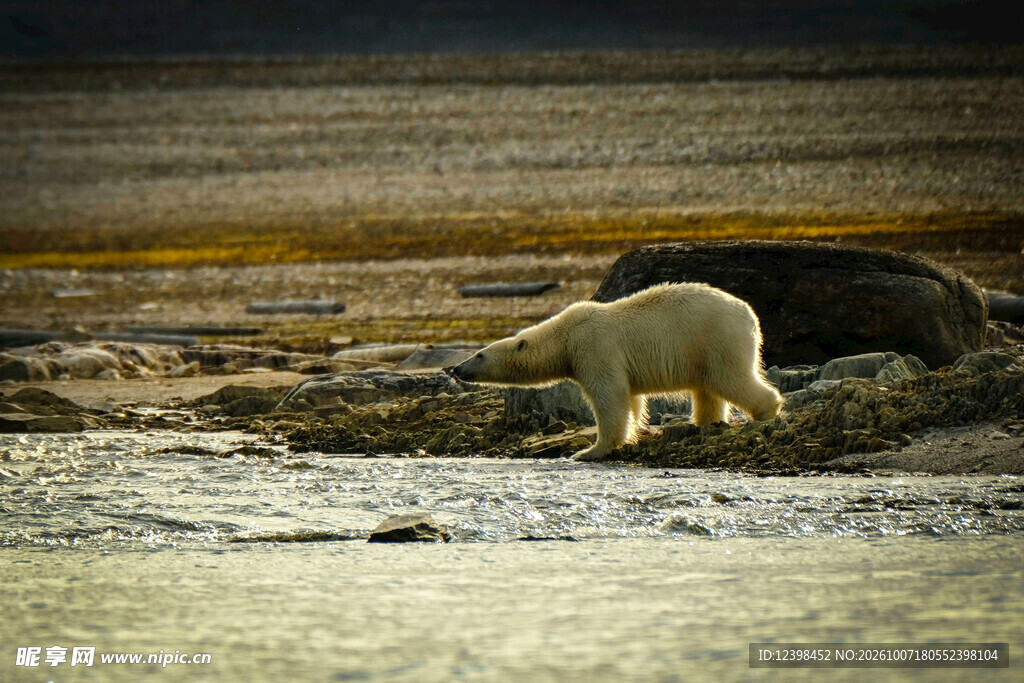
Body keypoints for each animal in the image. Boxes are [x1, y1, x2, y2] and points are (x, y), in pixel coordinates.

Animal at [447, 282, 783, 461]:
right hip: (703, 349)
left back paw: (767, 410)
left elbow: (609, 395)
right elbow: (630, 398)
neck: (564, 336)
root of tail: (749, 315)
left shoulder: (594, 347)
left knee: (731, 378)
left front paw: (589, 451)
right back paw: (703, 423)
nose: (456, 368)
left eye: (479, 354)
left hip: (716, 338)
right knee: (708, 390)